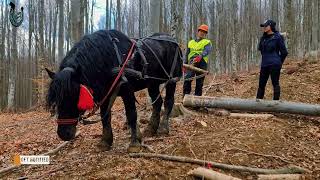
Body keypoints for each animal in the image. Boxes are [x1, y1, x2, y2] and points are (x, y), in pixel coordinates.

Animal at [46, 30, 184, 151]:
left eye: (76, 96)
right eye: (56, 100)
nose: (63, 134)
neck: (109, 59)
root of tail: (173, 41)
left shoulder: (127, 91)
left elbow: (131, 114)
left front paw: (134, 143)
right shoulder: (105, 93)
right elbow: (105, 116)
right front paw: (105, 141)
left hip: (172, 79)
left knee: (168, 102)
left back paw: (163, 129)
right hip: (152, 83)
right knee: (157, 103)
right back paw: (151, 128)